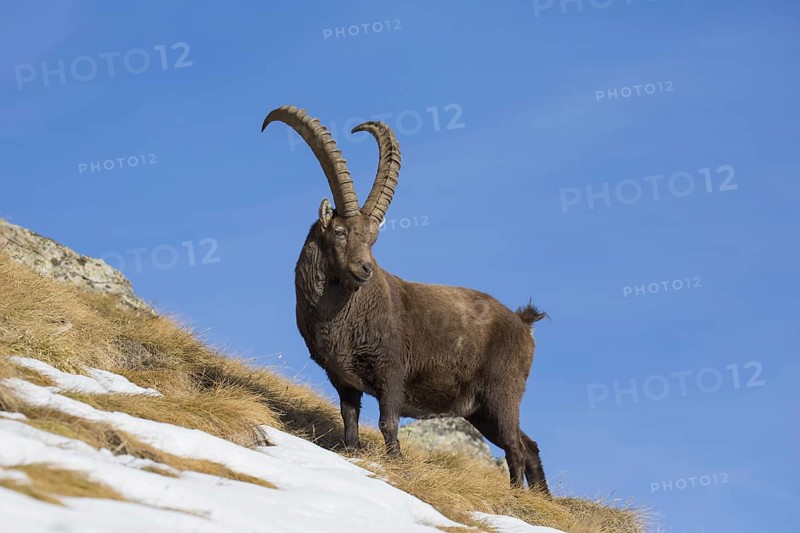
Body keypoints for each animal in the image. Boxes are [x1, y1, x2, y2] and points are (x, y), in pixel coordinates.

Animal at [262, 105, 549, 493]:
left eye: (373, 237)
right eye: (340, 232)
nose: (365, 269)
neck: (343, 317)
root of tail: (522, 322)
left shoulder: (392, 372)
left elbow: (388, 422)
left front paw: (395, 462)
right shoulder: (342, 379)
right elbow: (349, 417)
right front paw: (352, 452)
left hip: (502, 393)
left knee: (516, 448)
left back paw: (516, 494)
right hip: (480, 409)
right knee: (528, 445)